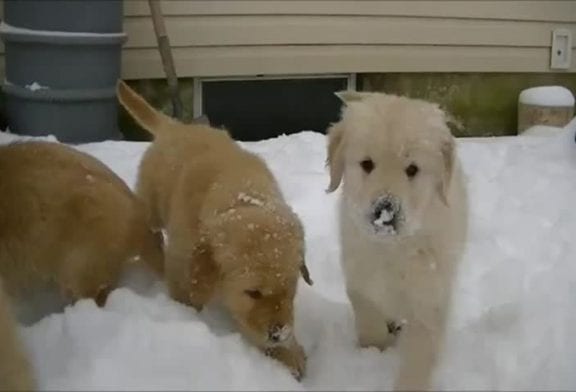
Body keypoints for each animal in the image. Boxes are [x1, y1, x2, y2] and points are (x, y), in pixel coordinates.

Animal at [118, 80, 316, 380]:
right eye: (253, 293)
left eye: (289, 289)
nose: (277, 334)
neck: (243, 194)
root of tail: (175, 127)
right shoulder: (181, 259)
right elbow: (185, 292)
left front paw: (289, 351)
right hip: (150, 202)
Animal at [326, 91, 466, 388]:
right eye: (367, 164)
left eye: (412, 169)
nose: (385, 211)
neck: (394, 248)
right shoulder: (359, 275)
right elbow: (368, 317)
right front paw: (374, 350)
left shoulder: (429, 295)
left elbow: (420, 352)